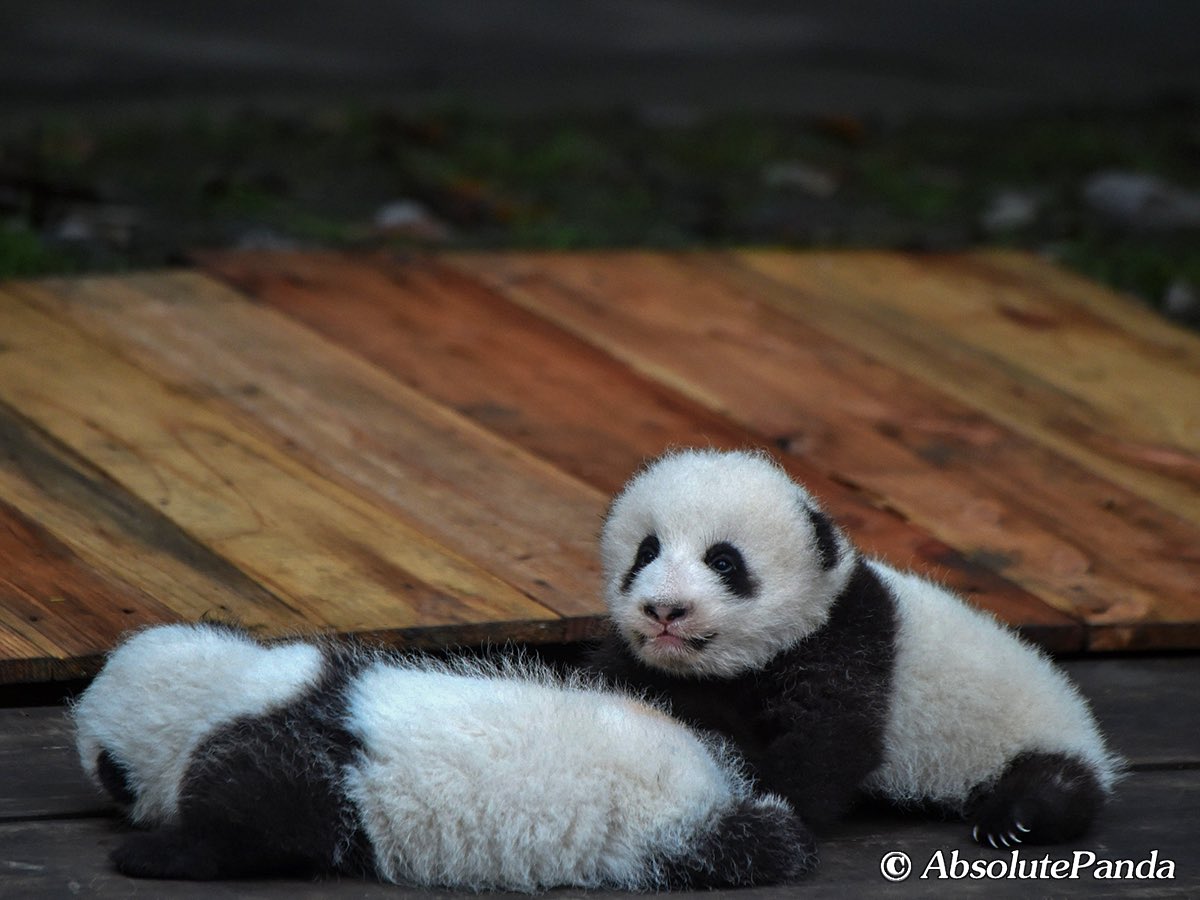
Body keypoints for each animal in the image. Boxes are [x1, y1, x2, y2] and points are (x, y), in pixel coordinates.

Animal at [72, 621, 813, 891]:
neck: (233, 689)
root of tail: (710, 783)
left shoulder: (281, 765)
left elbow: (255, 831)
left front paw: (148, 854)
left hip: (656, 830)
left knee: (745, 846)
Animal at [590, 448, 1122, 850]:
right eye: (646, 553)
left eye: (723, 562)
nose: (664, 610)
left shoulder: (847, 645)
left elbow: (830, 743)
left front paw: (766, 795)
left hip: (1037, 731)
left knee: (1057, 786)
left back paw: (1013, 820)